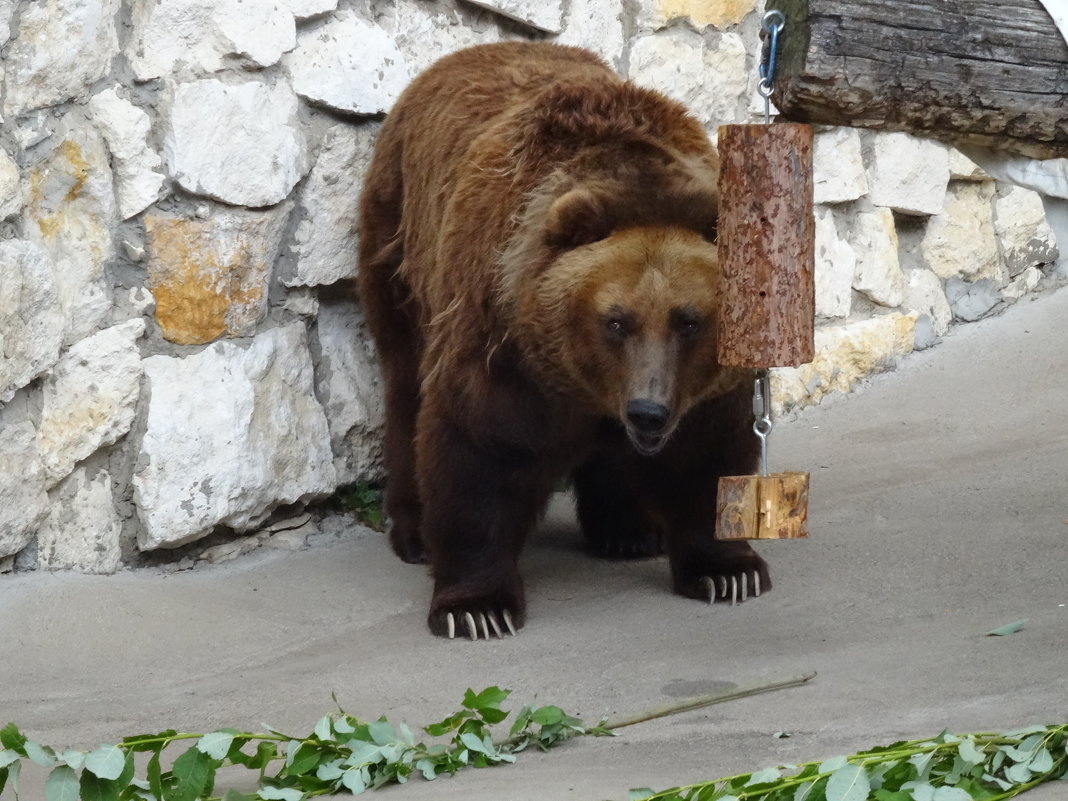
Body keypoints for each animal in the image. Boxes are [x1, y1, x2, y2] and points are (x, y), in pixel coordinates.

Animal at [356, 42, 768, 640]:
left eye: (688, 320)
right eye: (616, 320)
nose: (647, 411)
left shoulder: (701, 384)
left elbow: (708, 453)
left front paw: (728, 571)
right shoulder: (501, 339)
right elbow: (477, 448)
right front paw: (476, 608)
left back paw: (629, 531)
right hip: (403, 248)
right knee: (407, 385)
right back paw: (414, 535)